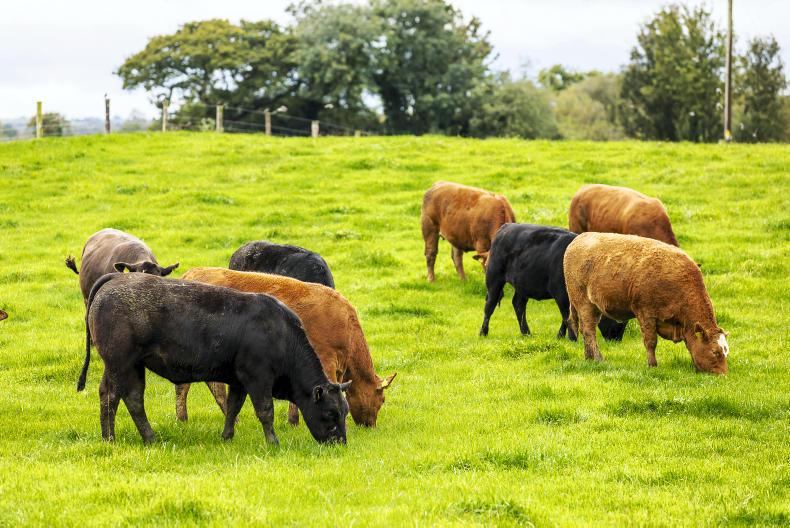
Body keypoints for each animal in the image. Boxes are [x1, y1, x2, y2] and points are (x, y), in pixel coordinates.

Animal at [78, 272, 350, 445]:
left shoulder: (239, 381)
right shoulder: (258, 378)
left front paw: (227, 436)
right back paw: (145, 438)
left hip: (121, 365)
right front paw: (273, 441)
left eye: (345, 412)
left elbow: (233, 407)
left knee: (111, 395)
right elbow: (265, 411)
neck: (280, 333)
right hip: (124, 364)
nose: (340, 443)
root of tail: (115, 278)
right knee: (130, 398)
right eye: (331, 413)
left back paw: (112, 438)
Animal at [479, 223, 626, 341]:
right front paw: (571, 338)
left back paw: (526, 333)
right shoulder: (561, 295)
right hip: (494, 279)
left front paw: (562, 336)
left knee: (518, 304)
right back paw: (483, 332)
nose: (617, 338)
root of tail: (506, 227)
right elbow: (567, 317)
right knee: (489, 306)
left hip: (522, 284)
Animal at [564, 233, 729, 374]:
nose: (723, 374)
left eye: (726, 352)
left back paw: (589, 357)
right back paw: (597, 358)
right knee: (589, 331)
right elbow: (651, 342)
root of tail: (577, 240)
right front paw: (652, 365)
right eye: (715, 352)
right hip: (584, 304)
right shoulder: (646, 314)